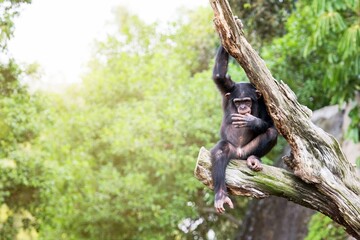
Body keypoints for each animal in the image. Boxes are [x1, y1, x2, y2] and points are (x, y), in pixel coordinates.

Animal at [210, 45, 278, 214]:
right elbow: (219, 75)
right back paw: (220, 195)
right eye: (238, 101)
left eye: (247, 101)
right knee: (220, 150)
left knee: (271, 133)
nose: (242, 107)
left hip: (247, 151)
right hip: (232, 150)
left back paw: (254, 159)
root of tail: (239, 153)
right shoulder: (227, 88)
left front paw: (252, 121)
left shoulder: (265, 101)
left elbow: (271, 123)